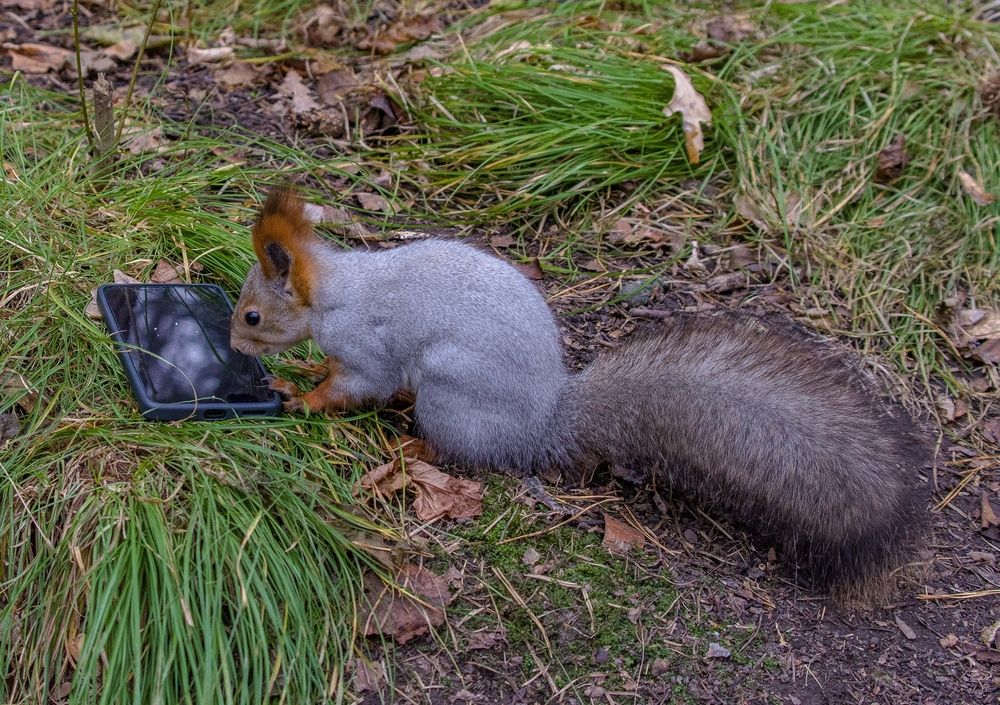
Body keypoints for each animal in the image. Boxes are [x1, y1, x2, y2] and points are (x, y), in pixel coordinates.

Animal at [230, 187, 929, 593]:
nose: (235, 348)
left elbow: (360, 384)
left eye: (253, 316)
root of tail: (544, 420)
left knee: (467, 453)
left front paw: (305, 399)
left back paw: (414, 449)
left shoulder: (366, 346)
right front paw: (301, 377)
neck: (335, 294)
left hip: (450, 393)